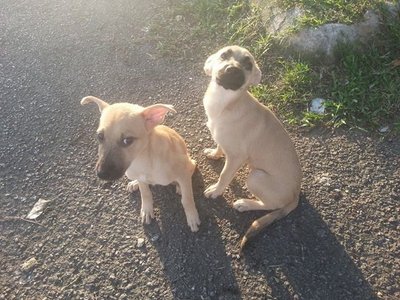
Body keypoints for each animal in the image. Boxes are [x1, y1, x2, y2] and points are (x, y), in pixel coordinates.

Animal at [80, 96, 200, 232]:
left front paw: (192, 217)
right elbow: (145, 193)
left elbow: (187, 199)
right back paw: (134, 183)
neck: (143, 160)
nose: (101, 174)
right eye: (99, 136)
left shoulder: (183, 174)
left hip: (190, 164)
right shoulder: (140, 176)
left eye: (127, 140)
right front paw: (147, 209)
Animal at [203, 46, 300, 248]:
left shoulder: (236, 157)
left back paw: (245, 204)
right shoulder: (223, 140)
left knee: (271, 205)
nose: (233, 69)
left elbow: (224, 176)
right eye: (224, 55)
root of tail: (296, 195)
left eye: (248, 64)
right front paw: (214, 153)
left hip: (255, 177)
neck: (225, 102)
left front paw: (216, 191)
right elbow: (219, 146)